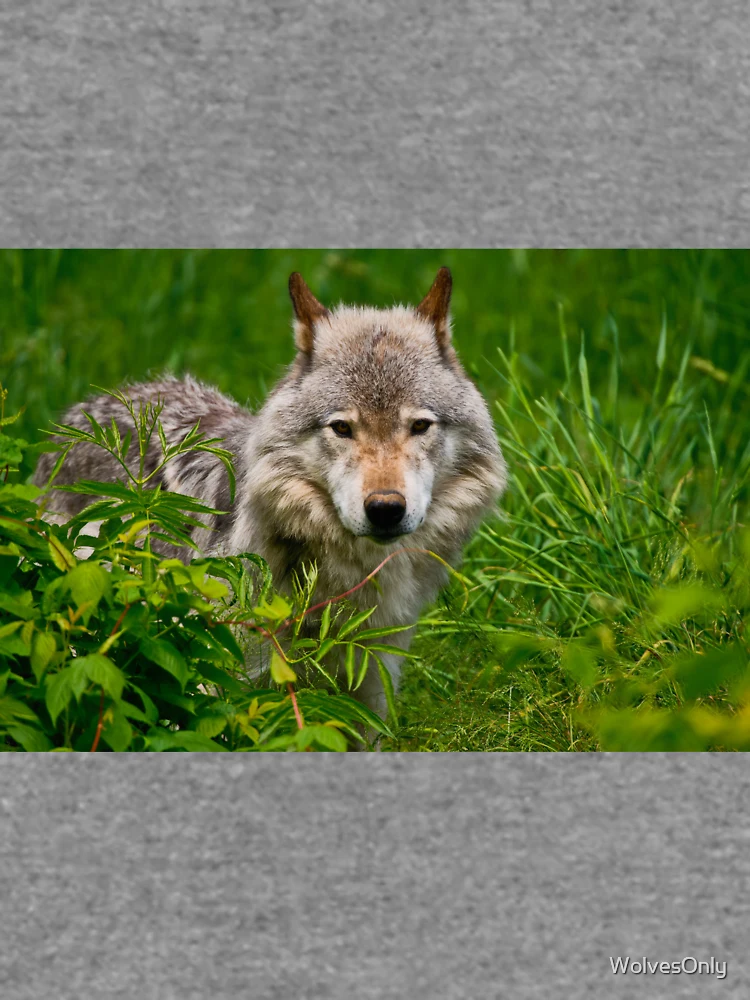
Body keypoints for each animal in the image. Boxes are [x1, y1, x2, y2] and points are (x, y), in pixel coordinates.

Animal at [33, 268, 507, 720]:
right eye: (341, 428)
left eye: (419, 426)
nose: (385, 508)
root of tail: (82, 412)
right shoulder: (220, 686)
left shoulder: (371, 688)